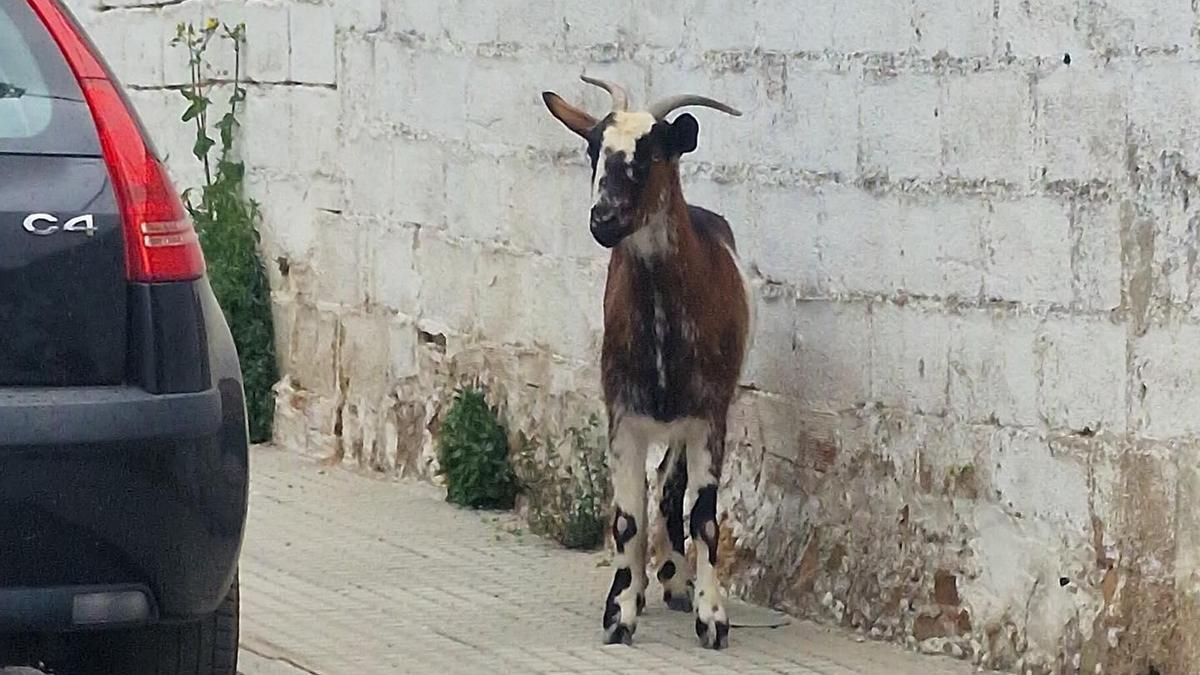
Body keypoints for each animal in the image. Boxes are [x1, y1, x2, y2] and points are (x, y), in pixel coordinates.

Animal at [542, 76, 752, 650]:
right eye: (593, 148)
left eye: (654, 152)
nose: (605, 220)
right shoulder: (623, 416)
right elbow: (625, 520)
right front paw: (619, 612)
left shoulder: (708, 416)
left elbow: (705, 519)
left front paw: (712, 618)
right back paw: (644, 584)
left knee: (671, 487)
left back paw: (676, 583)